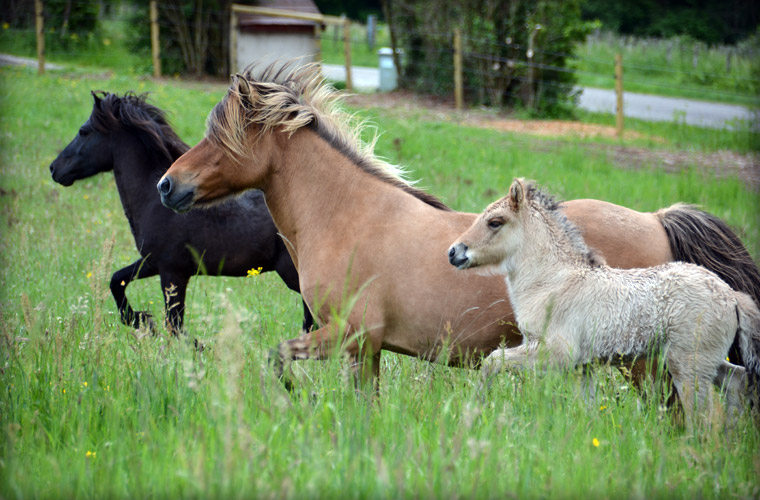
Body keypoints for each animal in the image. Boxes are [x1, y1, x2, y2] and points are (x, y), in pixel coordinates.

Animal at [48, 93, 312, 336]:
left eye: (83, 131)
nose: (54, 169)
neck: (153, 202)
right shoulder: (153, 263)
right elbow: (116, 280)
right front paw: (140, 320)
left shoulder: (171, 272)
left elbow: (175, 327)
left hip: (292, 272)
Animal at [154, 63, 760, 390]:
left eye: (221, 137)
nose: (166, 184)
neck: (347, 214)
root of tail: (657, 220)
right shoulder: (366, 350)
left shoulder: (349, 336)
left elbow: (280, 357)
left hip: (645, 364)